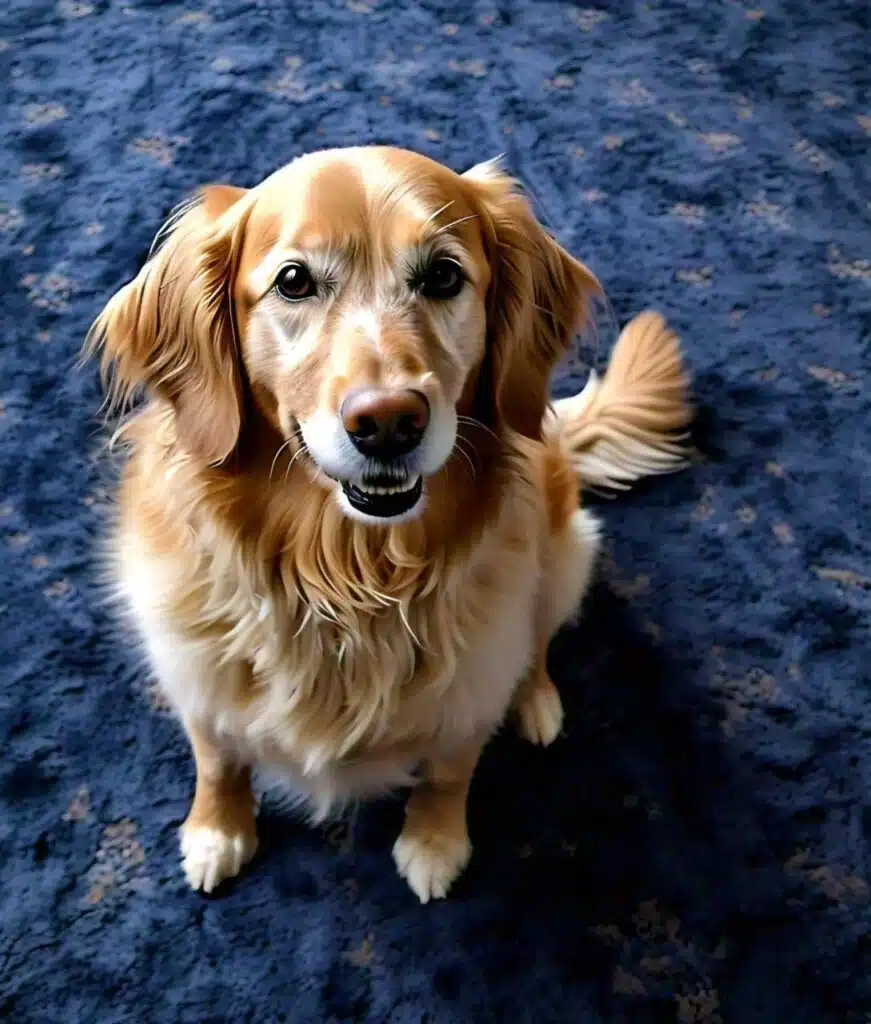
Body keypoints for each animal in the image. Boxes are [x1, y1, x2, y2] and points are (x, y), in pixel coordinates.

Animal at [84, 148, 691, 901]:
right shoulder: (195, 674)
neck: (348, 578)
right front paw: (217, 830)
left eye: (443, 275)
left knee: (538, 642)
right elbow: (218, 757)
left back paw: (536, 702)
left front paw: (435, 843)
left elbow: (449, 772)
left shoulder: (470, 689)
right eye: (293, 281)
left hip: (566, 551)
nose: (388, 422)